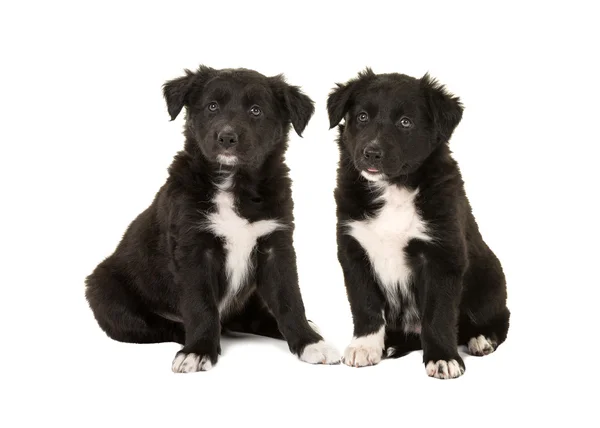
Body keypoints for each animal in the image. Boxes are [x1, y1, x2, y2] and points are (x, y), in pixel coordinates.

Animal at [85, 64, 340, 372]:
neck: (234, 182)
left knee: (251, 318)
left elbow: (289, 298)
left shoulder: (275, 246)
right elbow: (200, 305)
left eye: (256, 110)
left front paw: (309, 342)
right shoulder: (194, 248)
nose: (227, 138)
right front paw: (199, 350)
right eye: (212, 106)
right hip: (103, 289)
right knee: (155, 325)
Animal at [328, 68, 510, 380]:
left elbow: (437, 313)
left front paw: (443, 358)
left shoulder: (442, 254)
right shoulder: (354, 249)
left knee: (500, 318)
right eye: (362, 117)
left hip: (491, 278)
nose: (371, 153)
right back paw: (392, 344)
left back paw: (482, 338)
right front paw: (365, 346)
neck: (394, 188)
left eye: (405, 122)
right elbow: (364, 302)